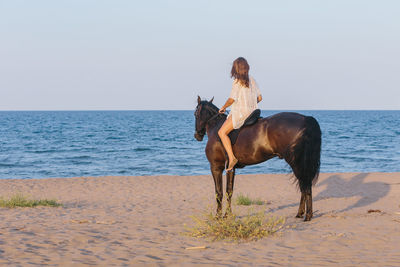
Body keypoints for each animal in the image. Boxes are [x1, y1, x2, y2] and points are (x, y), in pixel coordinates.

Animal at [194, 97, 322, 222]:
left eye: (195, 114)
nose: (197, 135)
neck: (216, 127)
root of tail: (305, 119)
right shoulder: (231, 168)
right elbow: (229, 191)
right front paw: (227, 215)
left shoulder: (216, 167)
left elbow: (219, 192)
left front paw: (219, 216)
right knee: (304, 186)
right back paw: (301, 213)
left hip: (296, 163)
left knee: (305, 187)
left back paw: (307, 216)